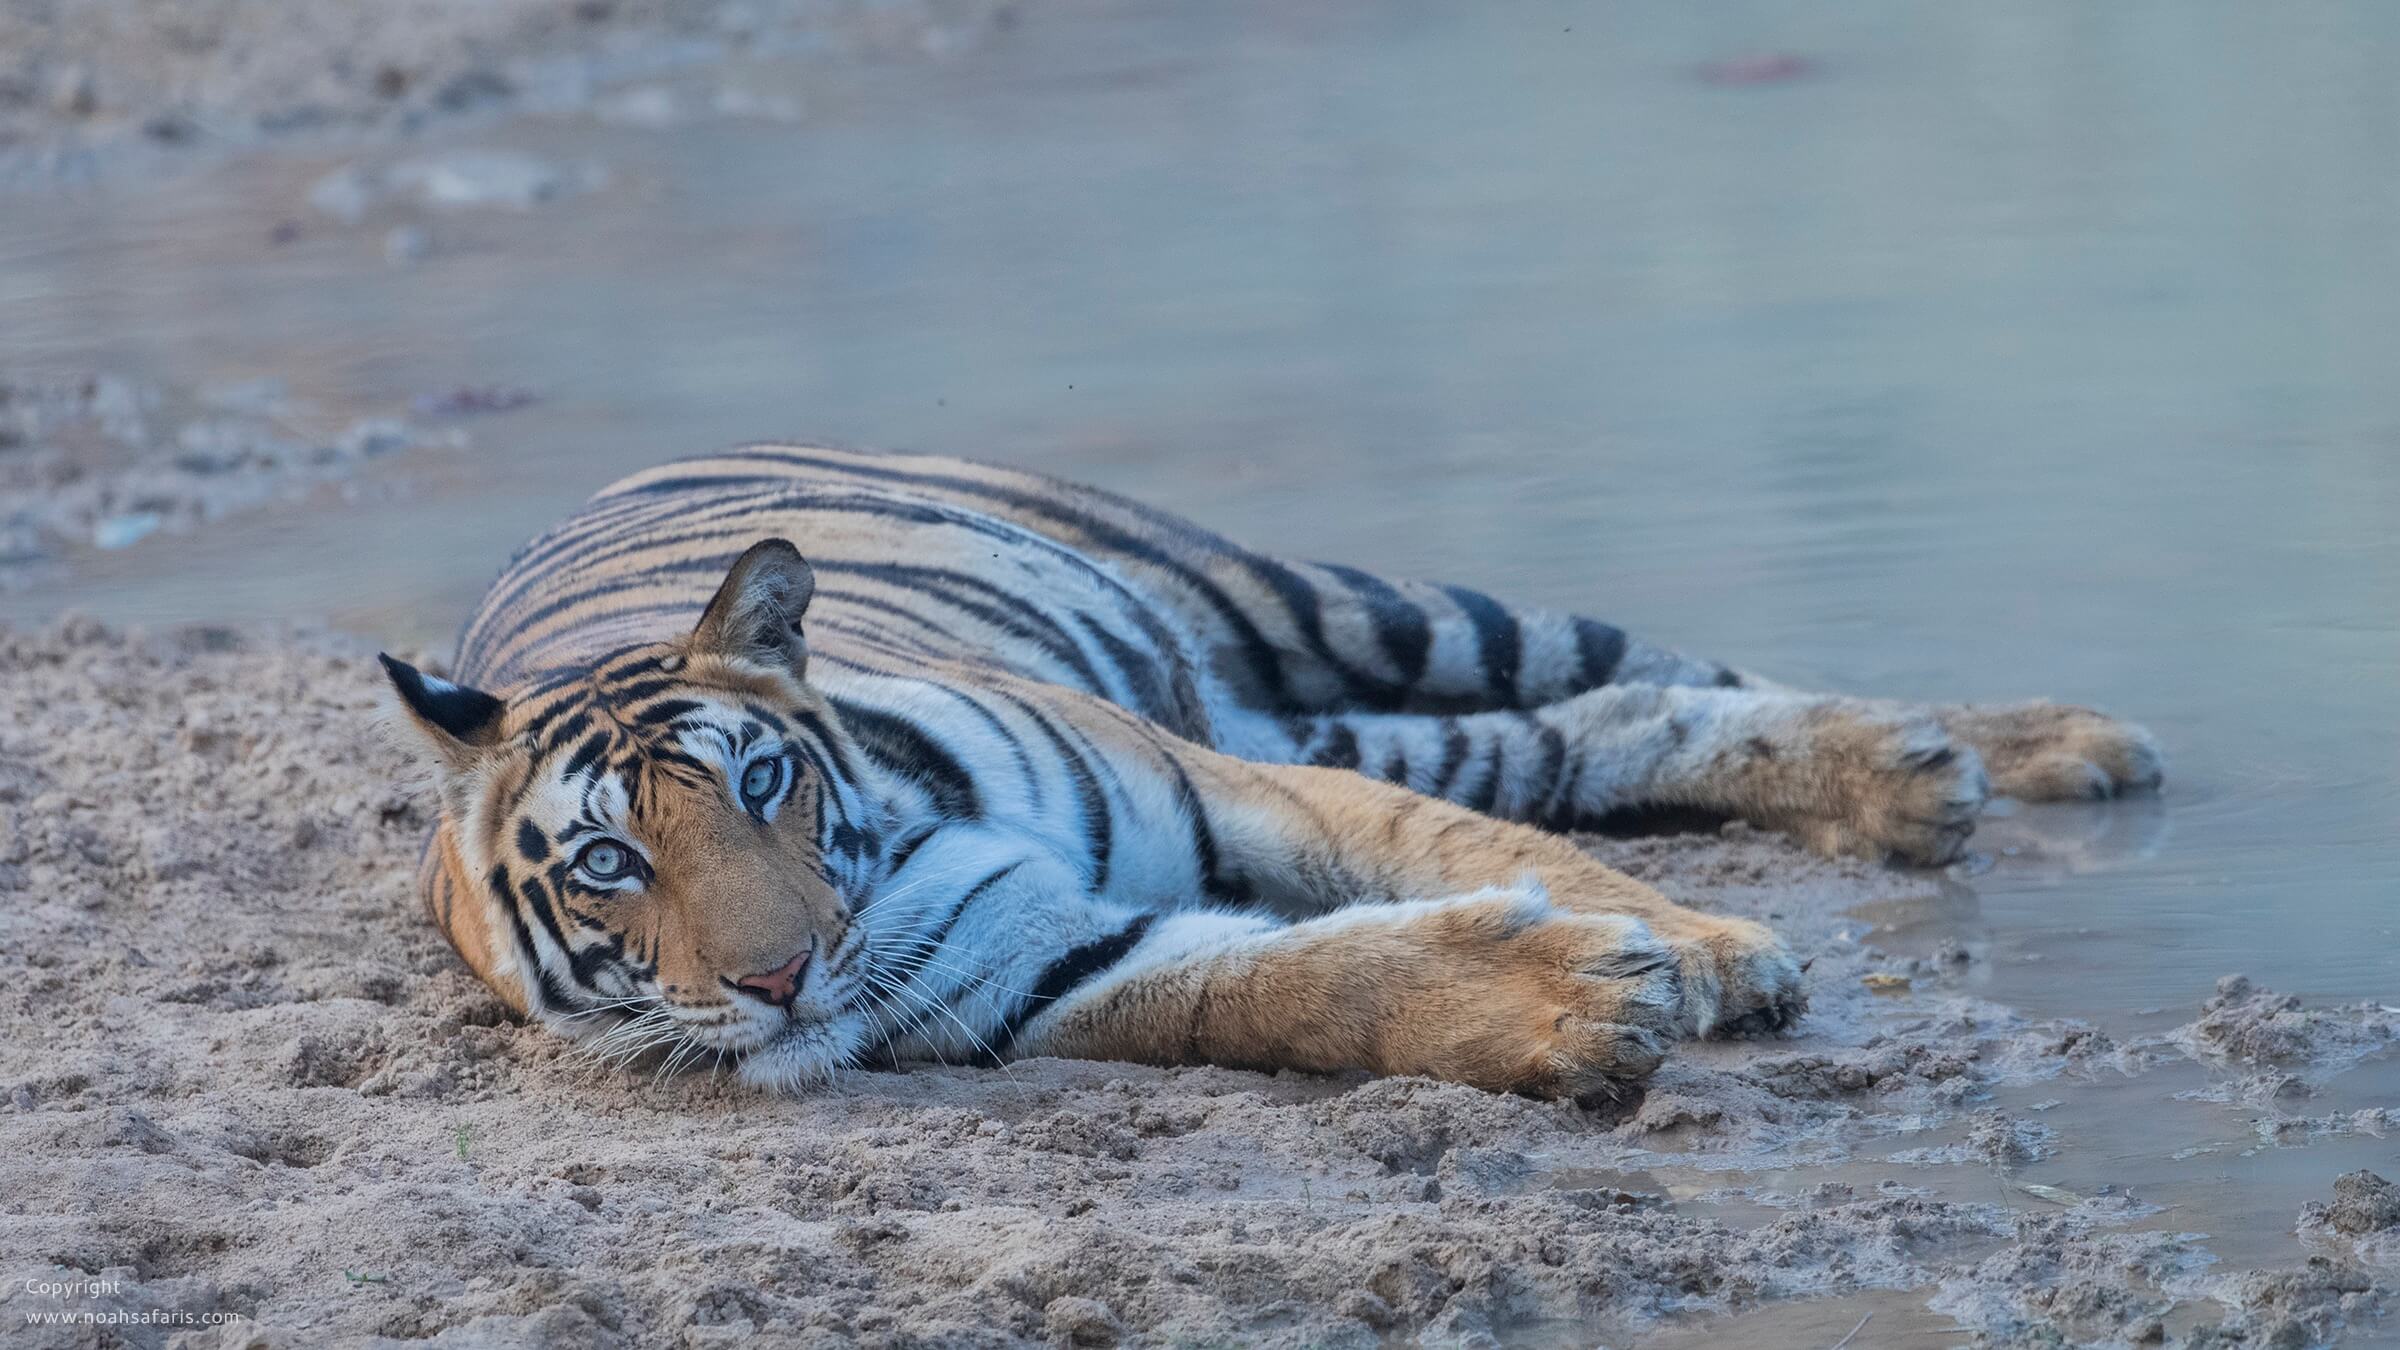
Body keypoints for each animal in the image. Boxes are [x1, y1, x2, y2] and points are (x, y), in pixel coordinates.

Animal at [379, 444, 2162, 1100]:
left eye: (761, 784)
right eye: (608, 864)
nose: (778, 979)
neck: (896, 846)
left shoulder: (1232, 787)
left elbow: (1465, 850)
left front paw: (1715, 954)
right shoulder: (1041, 964)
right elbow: (1297, 981)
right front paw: (1580, 1004)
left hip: (1318, 610)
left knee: (1638, 676)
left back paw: (2052, 745)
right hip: (1317, 703)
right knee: (1594, 733)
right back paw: (1935, 772)